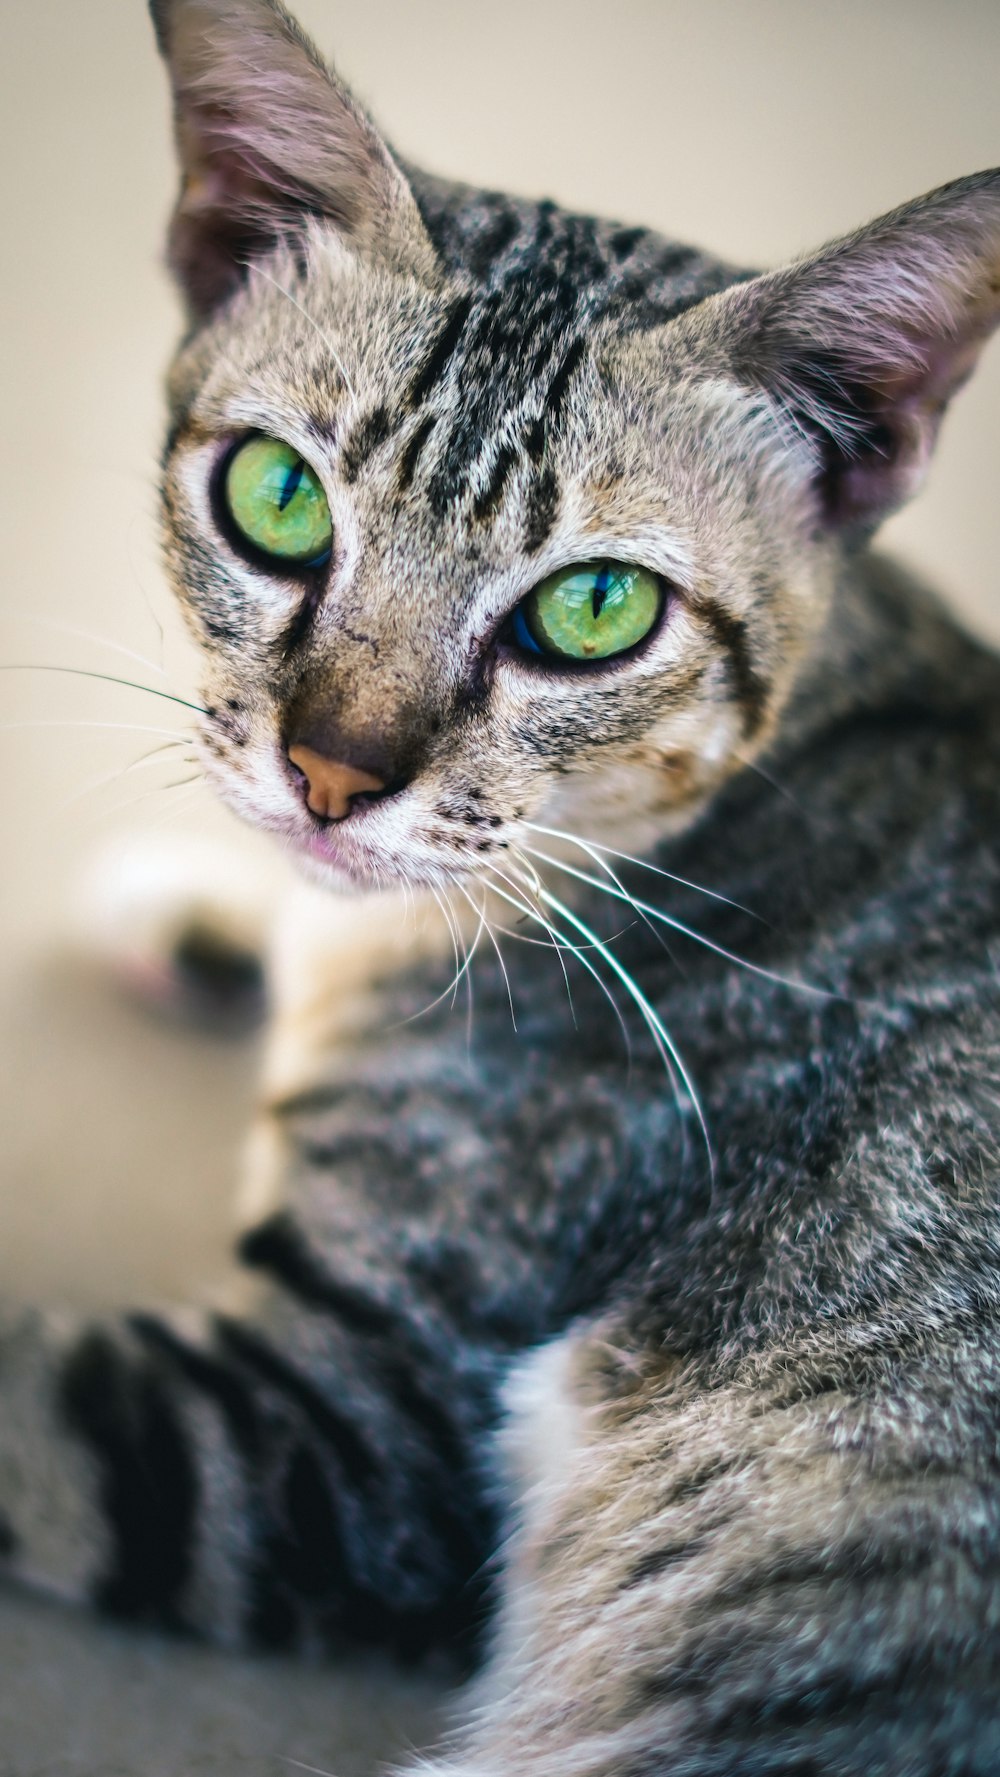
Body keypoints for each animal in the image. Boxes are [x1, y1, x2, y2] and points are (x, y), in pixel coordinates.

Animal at [1, 3, 1000, 1777]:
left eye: (594, 608)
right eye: (276, 496)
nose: (333, 773)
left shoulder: (348, 1427)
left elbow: (34, 1418)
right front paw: (201, 904)